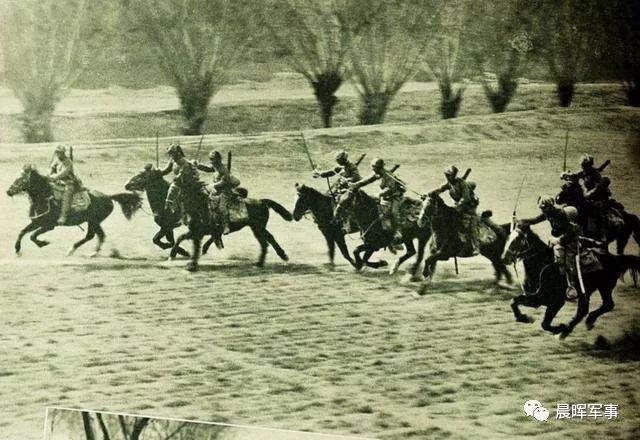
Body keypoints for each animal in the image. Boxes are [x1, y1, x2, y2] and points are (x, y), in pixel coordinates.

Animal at [6, 164, 141, 254]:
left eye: (21, 179)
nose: (8, 191)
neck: (45, 196)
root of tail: (108, 196)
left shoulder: (49, 226)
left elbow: (32, 236)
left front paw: (43, 243)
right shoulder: (37, 222)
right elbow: (22, 232)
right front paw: (17, 249)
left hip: (94, 221)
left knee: (91, 236)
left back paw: (74, 250)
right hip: (94, 222)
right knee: (100, 235)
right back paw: (92, 252)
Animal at [502, 222, 636, 338]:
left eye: (517, 240)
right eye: (508, 238)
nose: (504, 258)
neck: (542, 266)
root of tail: (615, 258)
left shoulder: (556, 302)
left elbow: (544, 324)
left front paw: (559, 328)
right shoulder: (537, 299)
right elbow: (513, 301)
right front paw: (524, 318)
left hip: (604, 287)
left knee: (607, 305)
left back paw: (580, 324)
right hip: (586, 292)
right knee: (584, 310)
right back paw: (572, 328)